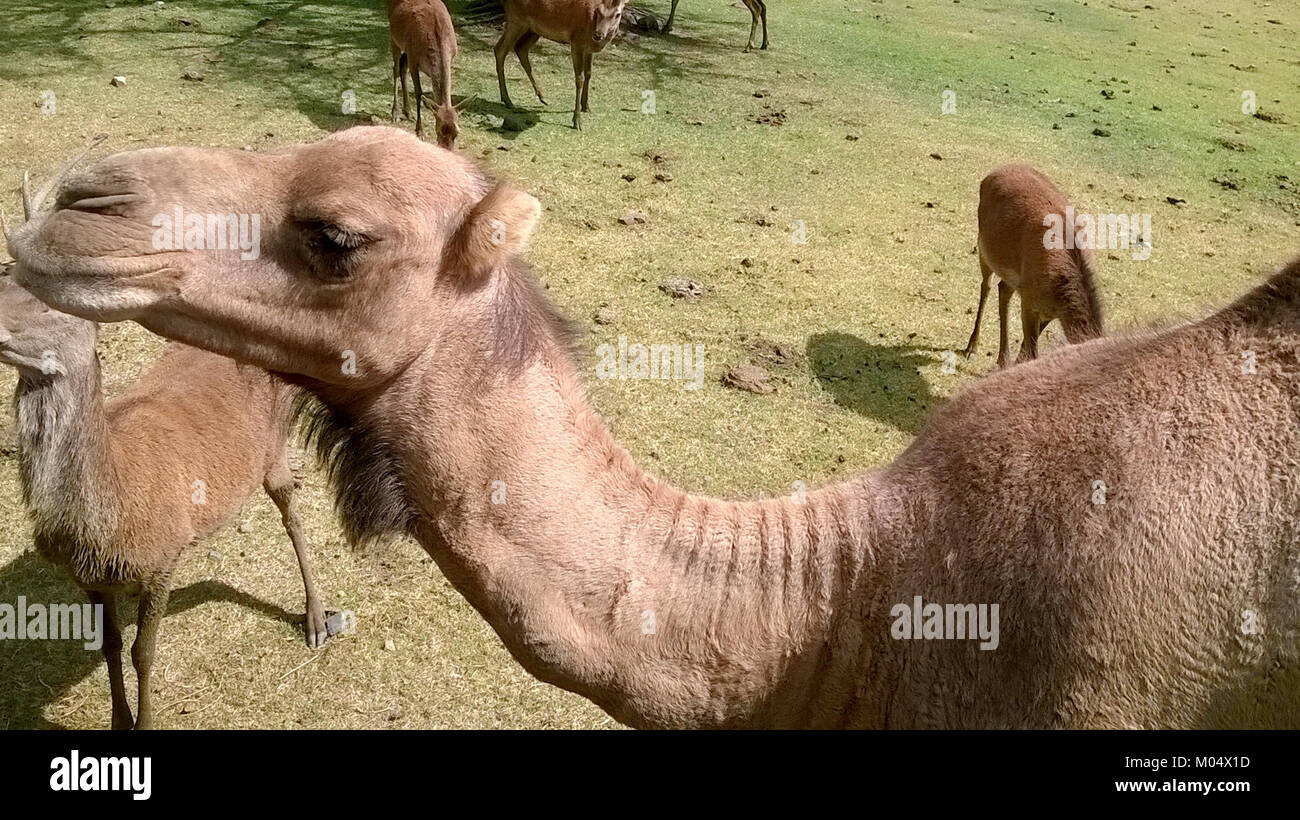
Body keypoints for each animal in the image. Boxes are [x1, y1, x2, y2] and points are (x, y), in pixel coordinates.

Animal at [966, 164, 1104, 367]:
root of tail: (993, 173)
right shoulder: (1029, 300)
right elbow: (1032, 351)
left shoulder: (1048, 312)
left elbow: (1027, 348)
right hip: (983, 246)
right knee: (986, 286)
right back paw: (972, 348)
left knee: (1003, 288)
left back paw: (1002, 358)